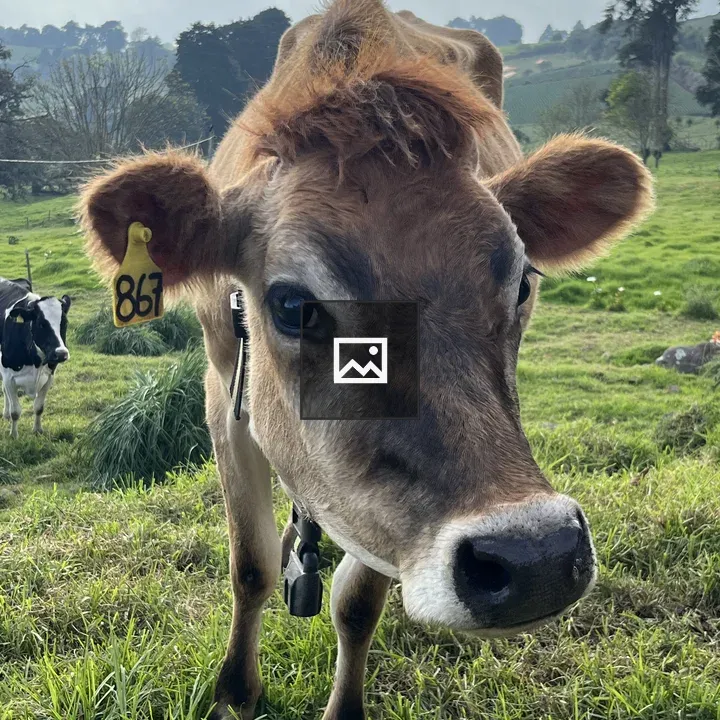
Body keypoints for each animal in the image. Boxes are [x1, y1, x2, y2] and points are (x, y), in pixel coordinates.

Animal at [0, 277, 71, 439]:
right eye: (41, 324)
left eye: (64, 323)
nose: (61, 354)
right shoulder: (9, 376)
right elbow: (15, 411)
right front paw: (14, 435)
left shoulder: (49, 376)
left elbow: (39, 407)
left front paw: (38, 430)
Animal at [78, 2, 654, 718]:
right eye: (292, 305)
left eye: (523, 282)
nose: (536, 558)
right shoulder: (222, 396)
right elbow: (250, 565)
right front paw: (236, 692)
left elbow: (355, 604)